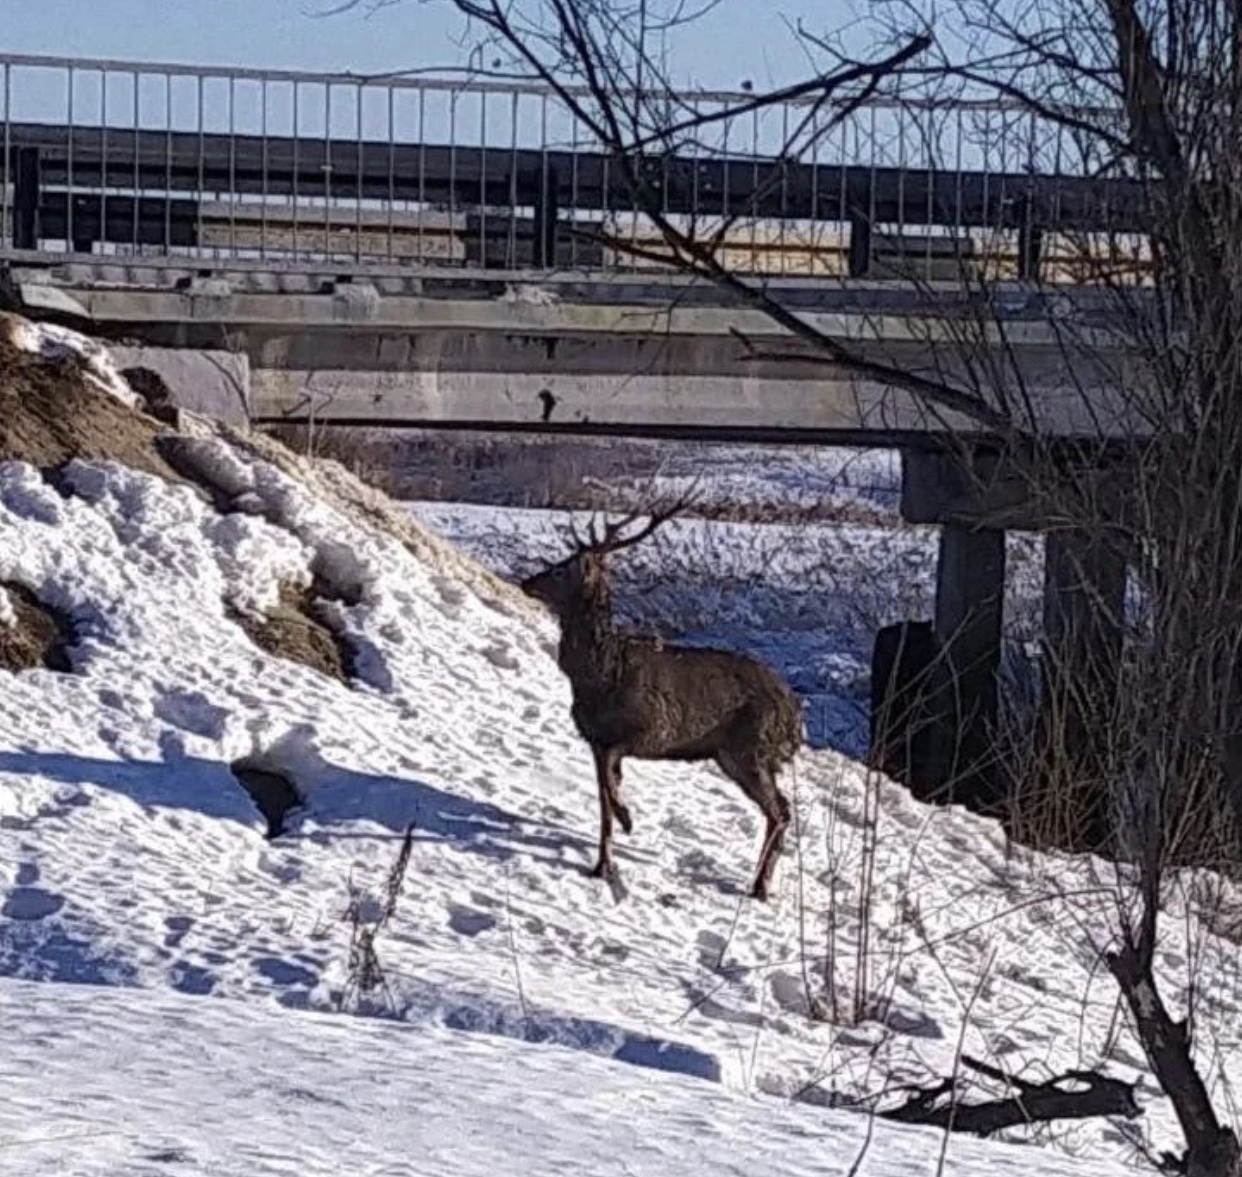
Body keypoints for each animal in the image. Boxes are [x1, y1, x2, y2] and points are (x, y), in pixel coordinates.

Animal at [519, 504, 804, 901]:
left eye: (562, 568)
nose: (526, 582)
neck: (599, 676)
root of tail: (796, 716)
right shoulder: (595, 740)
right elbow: (603, 802)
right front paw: (602, 865)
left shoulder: (649, 729)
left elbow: (611, 792)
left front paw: (627, 820)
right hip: (739, 755)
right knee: (782, 808)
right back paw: (761, 882)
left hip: (751, 748)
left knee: (780, 810)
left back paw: (758, 885)